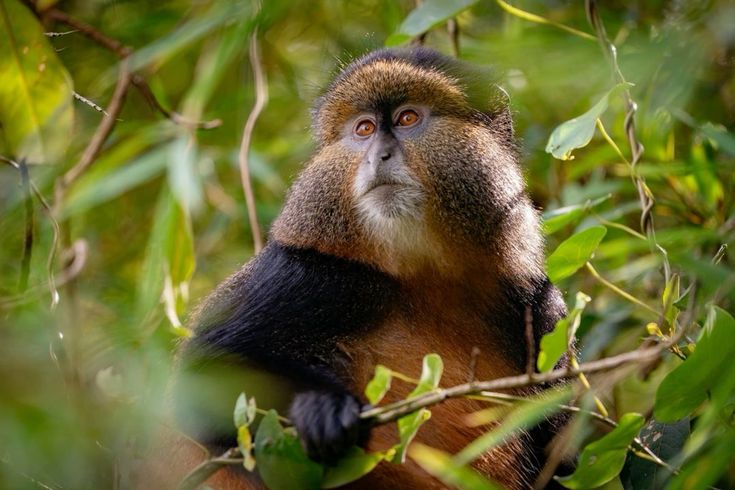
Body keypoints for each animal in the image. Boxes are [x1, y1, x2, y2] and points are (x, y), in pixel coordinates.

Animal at [146, 46, 569, 489]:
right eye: (363, 129)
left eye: (407, 118)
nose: (378, 155)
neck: (426, 274)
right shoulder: (312, 274)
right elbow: (205, 379)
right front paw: (322, 410)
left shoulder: (542, 307)